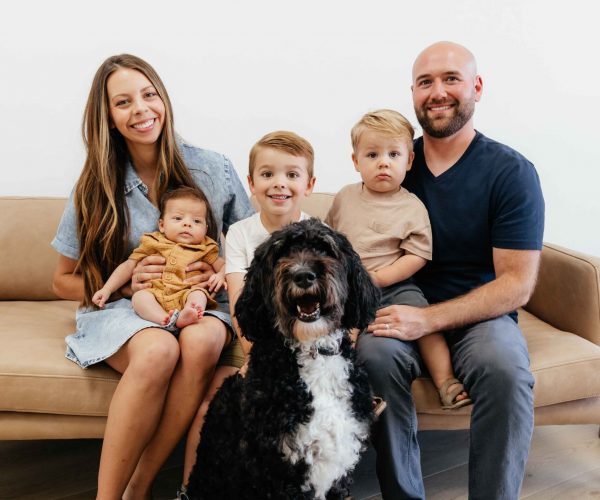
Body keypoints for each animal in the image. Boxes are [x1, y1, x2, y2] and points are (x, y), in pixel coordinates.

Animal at [188, 219, 380, 500]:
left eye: (324, 248)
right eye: (280, 254)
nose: (303, 275)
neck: (312, 351)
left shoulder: (339, 469)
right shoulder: (278, 472)